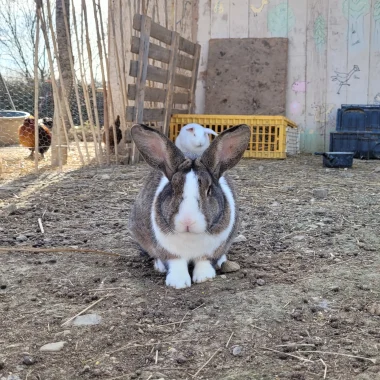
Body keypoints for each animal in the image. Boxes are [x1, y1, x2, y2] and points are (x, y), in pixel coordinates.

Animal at [129, 123, 251, 290]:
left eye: (209, 190)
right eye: (173, 189)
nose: (187, 221)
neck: (190, 236)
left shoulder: (211, 251)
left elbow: (204, 261)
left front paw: (204, 277)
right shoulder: (170, 252)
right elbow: (176, 263)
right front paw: (178, 283)